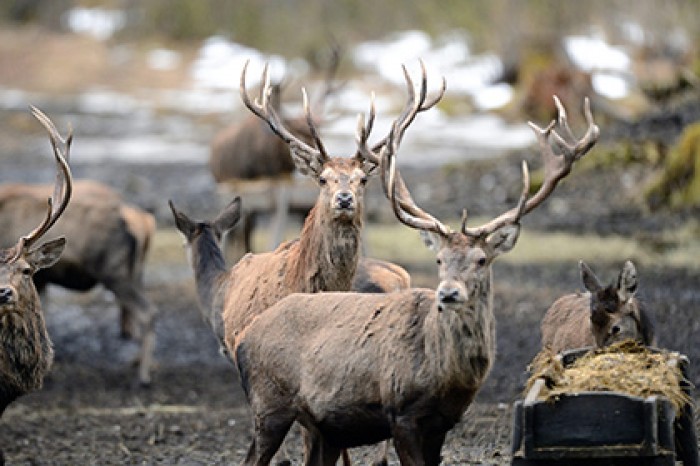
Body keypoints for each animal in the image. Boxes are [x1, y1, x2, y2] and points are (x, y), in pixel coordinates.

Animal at [0, 155, 157, 388]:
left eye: (25, 270)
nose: (4, 293)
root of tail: (145, 222)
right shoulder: (43, 280)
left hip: (115, 272)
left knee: (147, 311)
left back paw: (143, 376)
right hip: (136, 271)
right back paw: (136, 361)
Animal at [231, 96, 600, 464]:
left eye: (481, 260)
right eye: (439, 260)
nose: (448, 293)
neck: (446, 376)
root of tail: (243, 338)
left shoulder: (444, 422)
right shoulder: (402, 414)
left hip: (323, 426)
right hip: (270, 404)